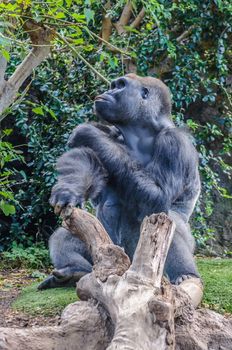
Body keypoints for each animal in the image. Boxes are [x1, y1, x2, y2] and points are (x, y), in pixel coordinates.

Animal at [38, 74, 203, 306]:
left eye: (120, 86)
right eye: (113, 85)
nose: (107, 92)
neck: (140, 132)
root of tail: (127, 267)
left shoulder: (174, 143)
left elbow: (159, 197)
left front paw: (87, 132)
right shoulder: (112, 133)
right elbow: (87, 161)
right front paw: (67, 190)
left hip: (144, 264)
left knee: (166, 218)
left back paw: (185, 275)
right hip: (107, 251)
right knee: (65, 238)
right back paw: (75, 271)